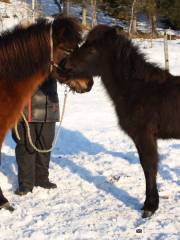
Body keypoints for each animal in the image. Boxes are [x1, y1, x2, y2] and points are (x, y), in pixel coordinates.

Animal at [59, 25, 180, 218]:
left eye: (92, 50)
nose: (63, 65)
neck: (138, 90)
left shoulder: (144, 136)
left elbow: (149, 167)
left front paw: (150, 206)